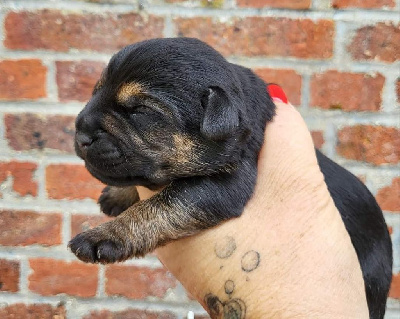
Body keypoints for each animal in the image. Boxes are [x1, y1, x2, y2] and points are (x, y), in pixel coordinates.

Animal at [69, 38, 390, 319]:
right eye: (96, 90)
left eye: (140, 110)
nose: (80, 132)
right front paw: (117, 195)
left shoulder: (226, 185)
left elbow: (162, 205)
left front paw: (105, 235)